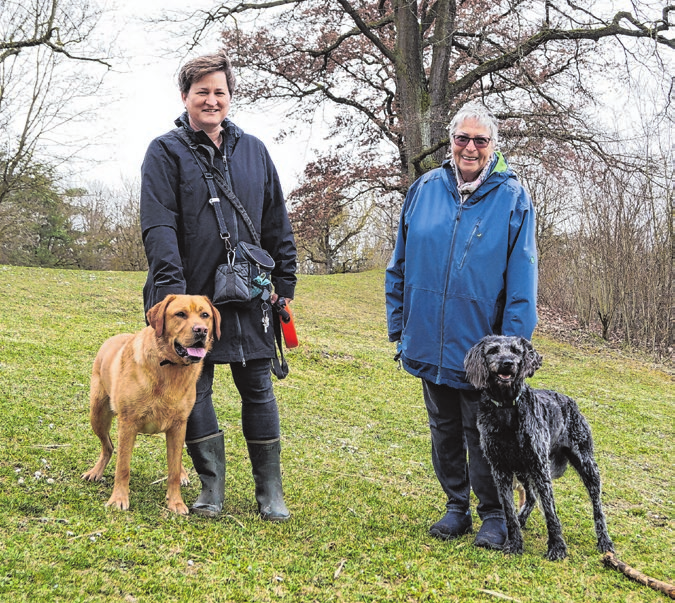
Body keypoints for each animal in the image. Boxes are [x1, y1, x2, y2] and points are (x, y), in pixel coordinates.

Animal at [468, 336, 616, 560]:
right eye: (493, 350)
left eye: (516, 351)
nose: (507, 363)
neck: (506, 407)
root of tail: (571, 402)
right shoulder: (500, 469)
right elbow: (509, 511)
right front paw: (514, 543)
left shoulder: (539, 466)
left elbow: (550, 511)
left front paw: (557, 547)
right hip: (522, 470)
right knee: (530, 496)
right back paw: (522, 519)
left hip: (586, 465)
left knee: (597, 507)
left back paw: (604, 540)